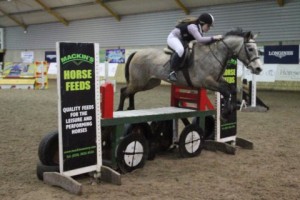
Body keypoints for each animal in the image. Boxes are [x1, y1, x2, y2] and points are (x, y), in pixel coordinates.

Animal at [117, 27, 262, 116]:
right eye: (250, 49)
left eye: (257, 49)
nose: (258, 68)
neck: (214, 54)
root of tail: (137, 52)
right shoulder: (207, 82)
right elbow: (225, 91)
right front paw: (226, 111)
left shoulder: (217, 80)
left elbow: (232, 89)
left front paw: (231, 108)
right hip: (140, 81)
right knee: (124, 91)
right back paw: (119, 110)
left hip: (149, 83)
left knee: (131, 91)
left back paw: (130, 109)